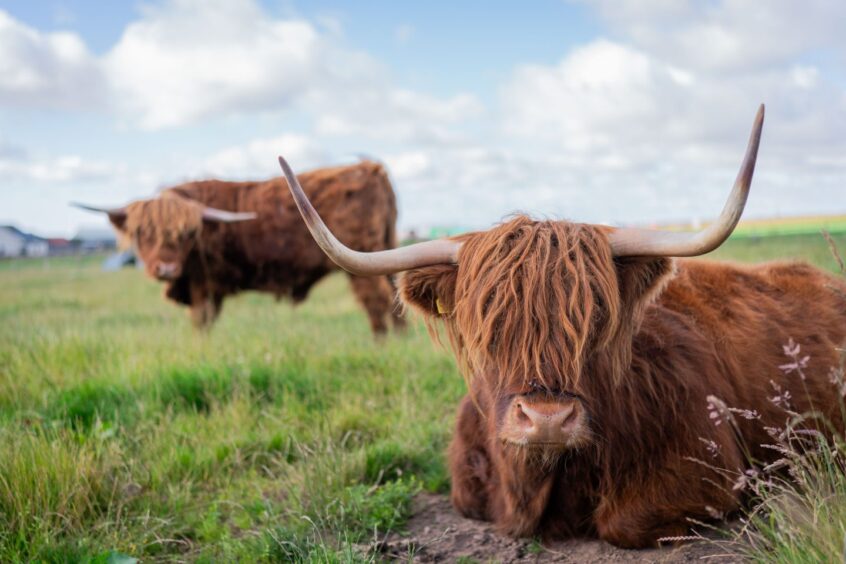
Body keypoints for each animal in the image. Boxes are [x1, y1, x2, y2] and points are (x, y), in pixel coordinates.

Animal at [74, 160, 406, 334]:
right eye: (143, 232)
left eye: (186, 234)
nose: (166, 268)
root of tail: (370, 167)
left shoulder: (202, 286)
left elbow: (201, 321)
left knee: (378, 303)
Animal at [278, 104, 846, 548]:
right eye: (487, 325)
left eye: (596, 318)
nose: (546, 419)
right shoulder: (465, 486)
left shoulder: (705, 470)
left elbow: (622, 521)